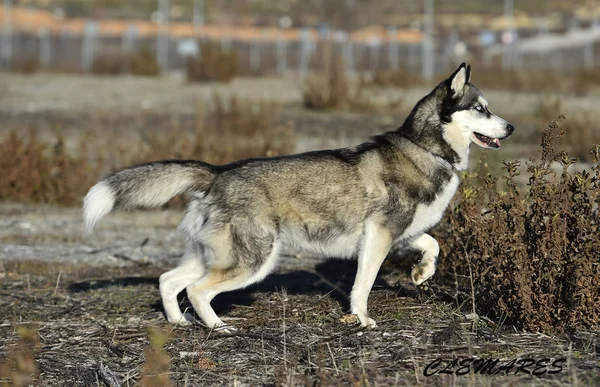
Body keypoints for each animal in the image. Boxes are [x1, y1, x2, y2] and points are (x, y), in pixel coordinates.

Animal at [83, 65, 516, 332]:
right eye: (480, 108)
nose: (510, 127)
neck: (425, 148)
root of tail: (218, 171)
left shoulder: (398, 234)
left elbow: (433, 245)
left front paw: (421, 274)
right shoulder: (378, 238)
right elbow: (362, 285)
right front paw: (362, 320)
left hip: (212, 255)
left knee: (169, 280)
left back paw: (178, 322)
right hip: (254, 260)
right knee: (198, 290)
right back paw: (219, 327)